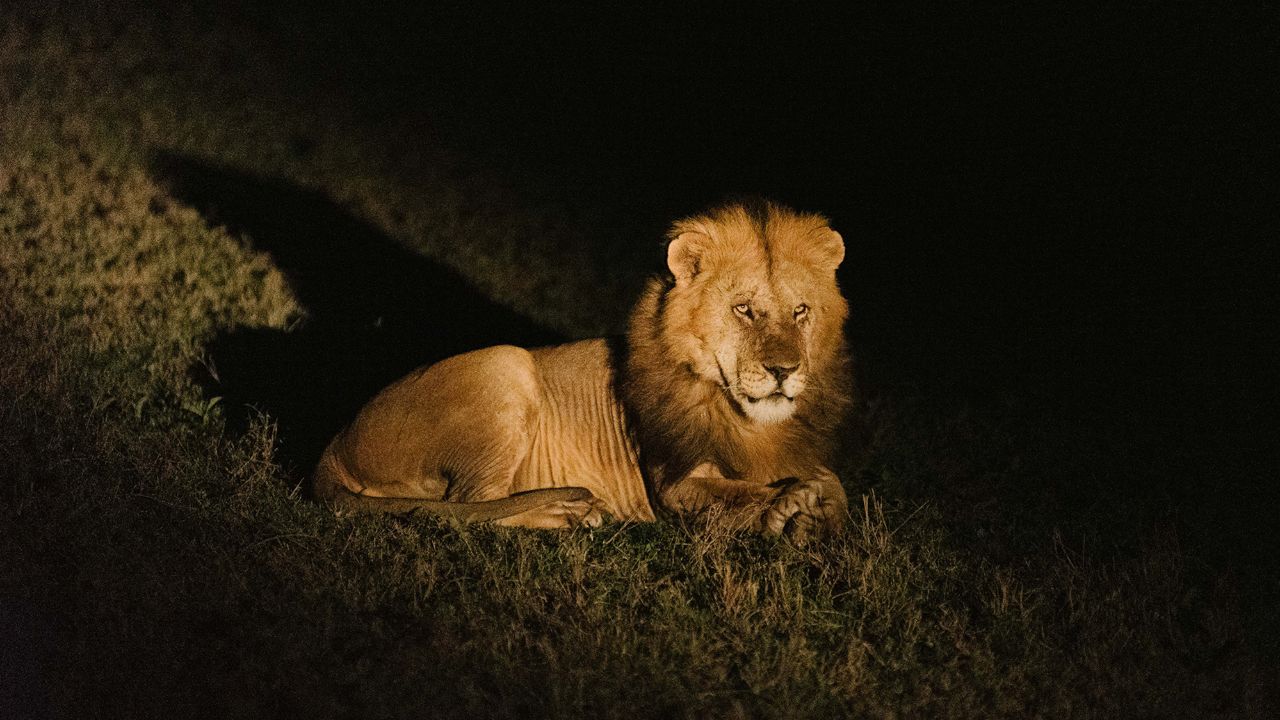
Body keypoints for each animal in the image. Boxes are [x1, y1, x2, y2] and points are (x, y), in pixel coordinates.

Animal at [308, 198, 849, 535]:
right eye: (744, 309)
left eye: (800, 311)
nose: (784, 370)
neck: (749, 419)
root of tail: (338, 441)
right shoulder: (673, 484)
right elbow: (736, 494)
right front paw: (791, 505)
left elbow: (833, 486)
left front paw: (816, 511)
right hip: (506, 364)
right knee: (462, 506)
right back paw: (569, 514)